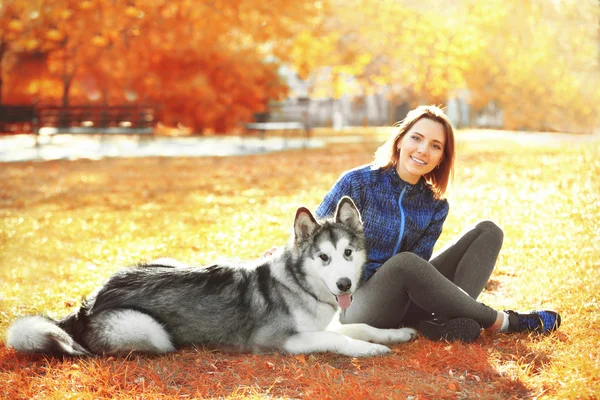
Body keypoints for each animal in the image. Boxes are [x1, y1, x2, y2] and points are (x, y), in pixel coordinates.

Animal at [5, 197, 418, 356]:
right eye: (323, 258)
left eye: (347, 254)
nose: (344, 285)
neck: (299, 284)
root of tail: (89, 302)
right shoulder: (277, 340)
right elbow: (339, 339)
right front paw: (369, 350)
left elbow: (362, 326)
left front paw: (396, 335)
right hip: (152, 333)